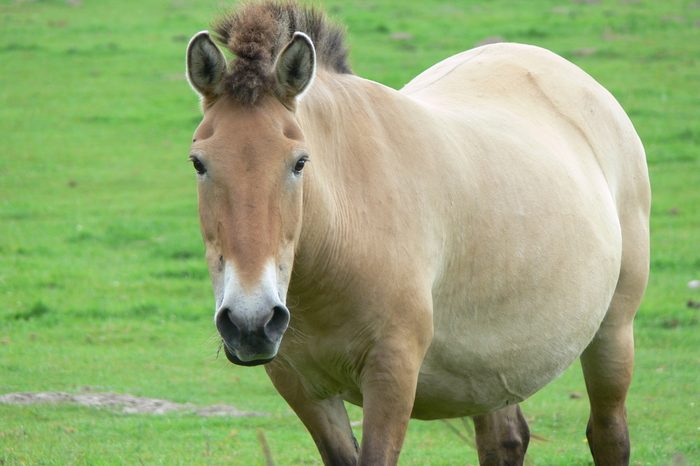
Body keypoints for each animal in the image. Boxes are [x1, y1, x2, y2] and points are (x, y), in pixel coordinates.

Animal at [183, 1, 648, 464]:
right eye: (198, 163)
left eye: (299, 162)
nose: (251, 321)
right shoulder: (300, 387)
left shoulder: (392, 374)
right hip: (490, 369)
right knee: (505, 439)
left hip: (613, 334)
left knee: (608, 434)